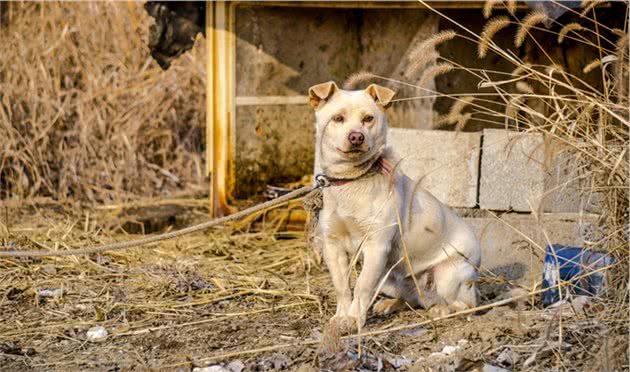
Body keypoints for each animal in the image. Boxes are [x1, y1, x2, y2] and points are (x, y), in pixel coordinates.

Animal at [312, 81, 484, 328]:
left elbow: (361, 286)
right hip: (389, 278)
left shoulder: (376, 246)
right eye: (338, 118)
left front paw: (353, 319)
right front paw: (341, 318)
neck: (352, 180)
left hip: (447, 275)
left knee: (464, 306)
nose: (356, 137)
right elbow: (342, 287)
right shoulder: (333, 246)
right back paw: (390, 304)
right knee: (411, 299)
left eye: (368, 119)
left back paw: (442, 311)